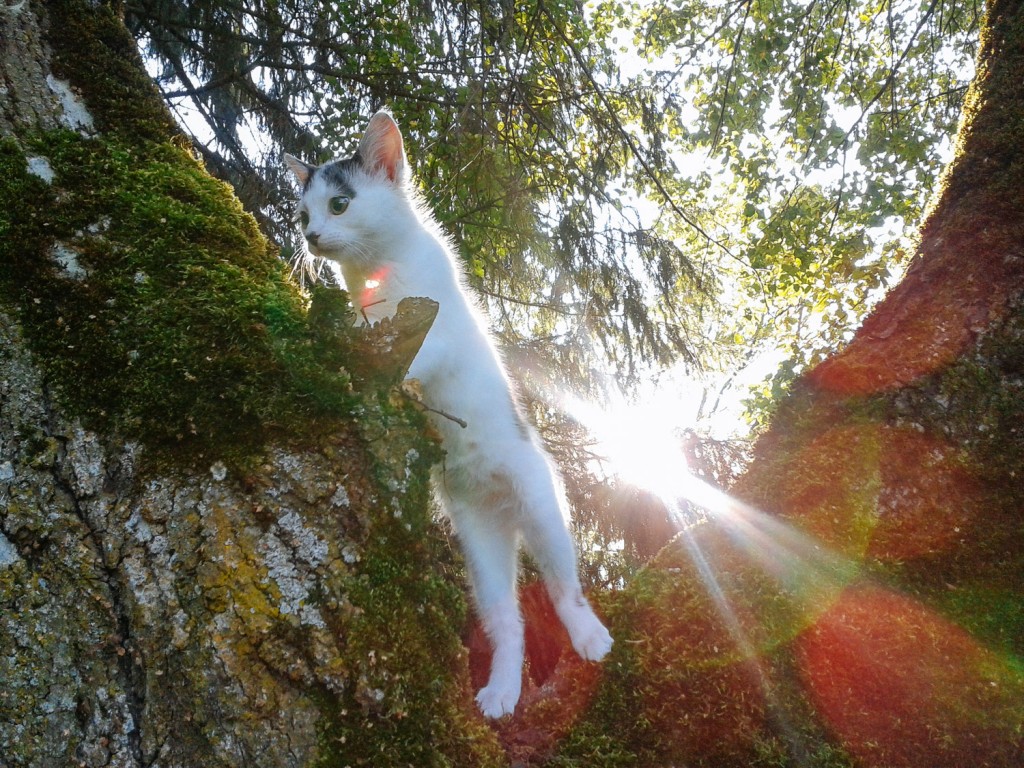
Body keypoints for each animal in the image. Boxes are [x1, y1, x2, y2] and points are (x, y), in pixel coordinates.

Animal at [284, 111, 610, 720]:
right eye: (302, 214)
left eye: (339, 204)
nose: (310, 236)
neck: (375, 277)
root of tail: (502, 509)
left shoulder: (442, 330)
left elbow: (415, 354)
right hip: (479, 548)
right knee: (508, 622)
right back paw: (502, 691)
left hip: (541, 505)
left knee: (564, 588)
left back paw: (589, 636)